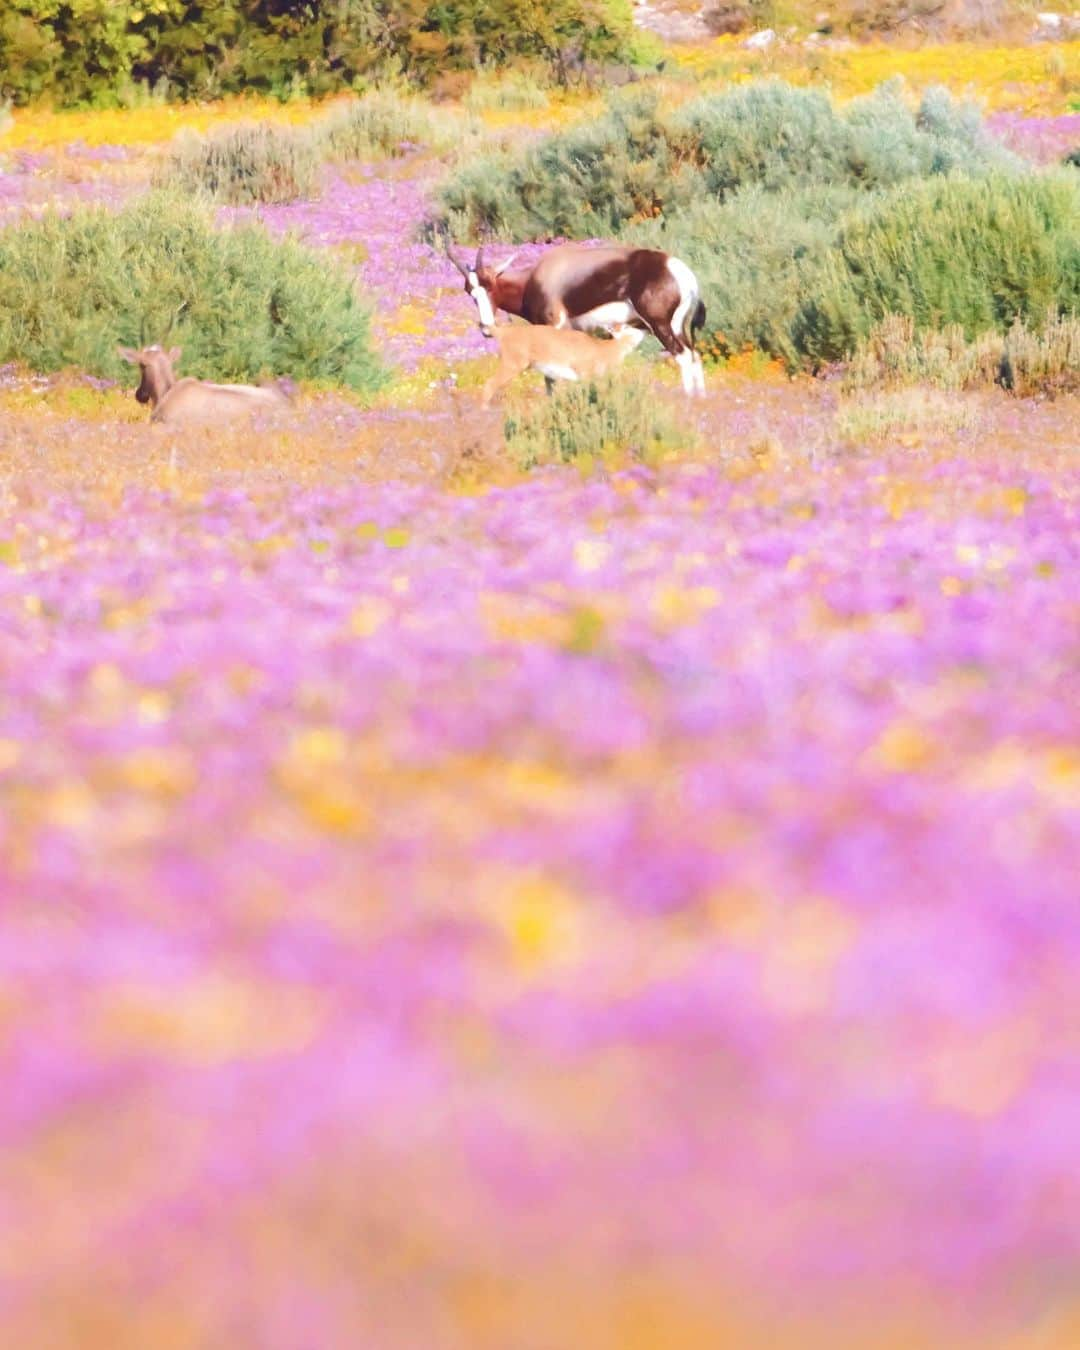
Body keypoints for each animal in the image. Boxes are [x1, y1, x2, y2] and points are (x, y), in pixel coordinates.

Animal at [448, 243, 707, 394]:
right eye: (470, 292)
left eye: (490, 286)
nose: (486, 328)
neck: (538, 276)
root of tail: (679, 271)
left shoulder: (555, 325)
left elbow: (551, 377)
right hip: (678, 327)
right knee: (694, 355)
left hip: (660, 326)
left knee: (683, 356)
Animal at [477, 319, 642, 405]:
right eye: (625, 326)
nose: (642, 332)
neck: (603, 348)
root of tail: (503, 331)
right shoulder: (585, 377)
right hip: (512, 366)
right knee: (489, 385)